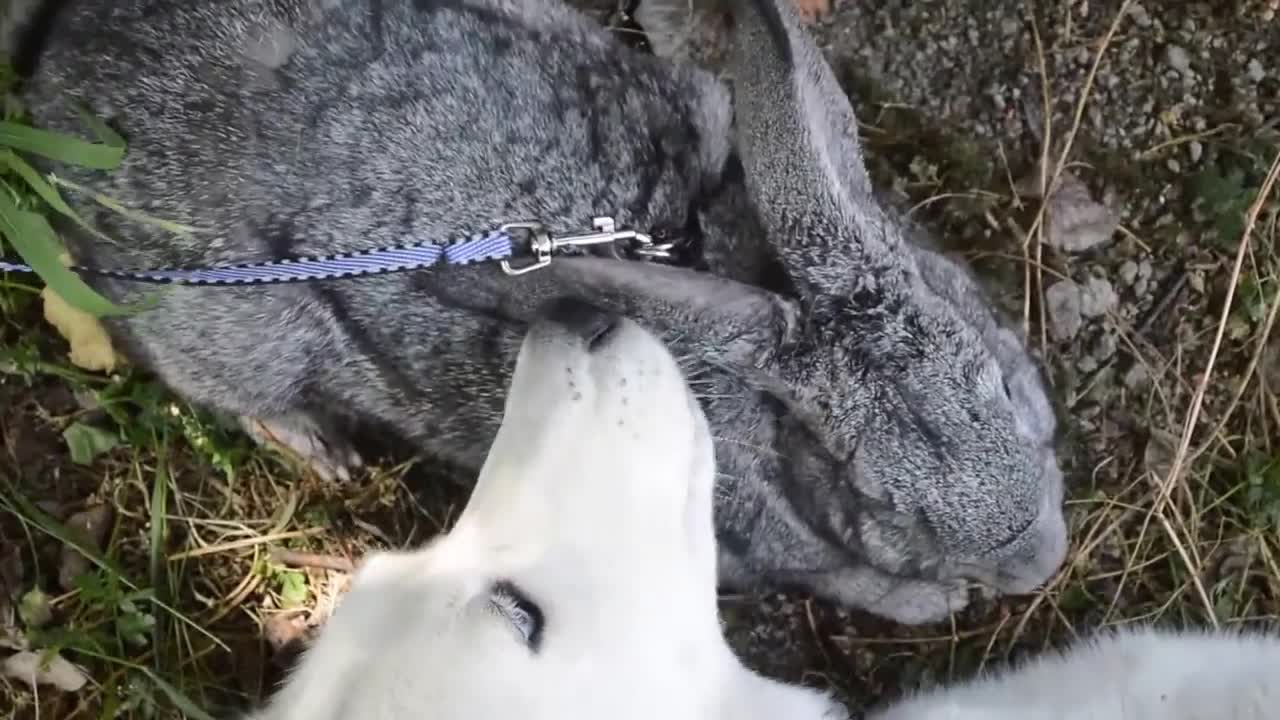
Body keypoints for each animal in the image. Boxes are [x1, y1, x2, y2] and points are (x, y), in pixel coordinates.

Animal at [7, 0, 1070, 620]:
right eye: (877, 499)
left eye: (1007, 389)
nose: (1039, 563)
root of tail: (62, 61)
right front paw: (936, 602)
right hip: (226, 329)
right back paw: (320, 446)